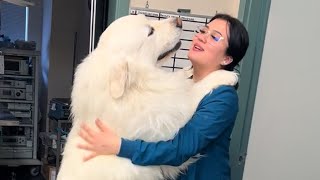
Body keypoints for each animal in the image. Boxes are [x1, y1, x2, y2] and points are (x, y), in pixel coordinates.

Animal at [57, 14, 238, 180]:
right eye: (150, 32)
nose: (179, 21)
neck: (134, 87)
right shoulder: (171, 120)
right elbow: (192, 91)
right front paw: (225, 75)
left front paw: (187, 71)